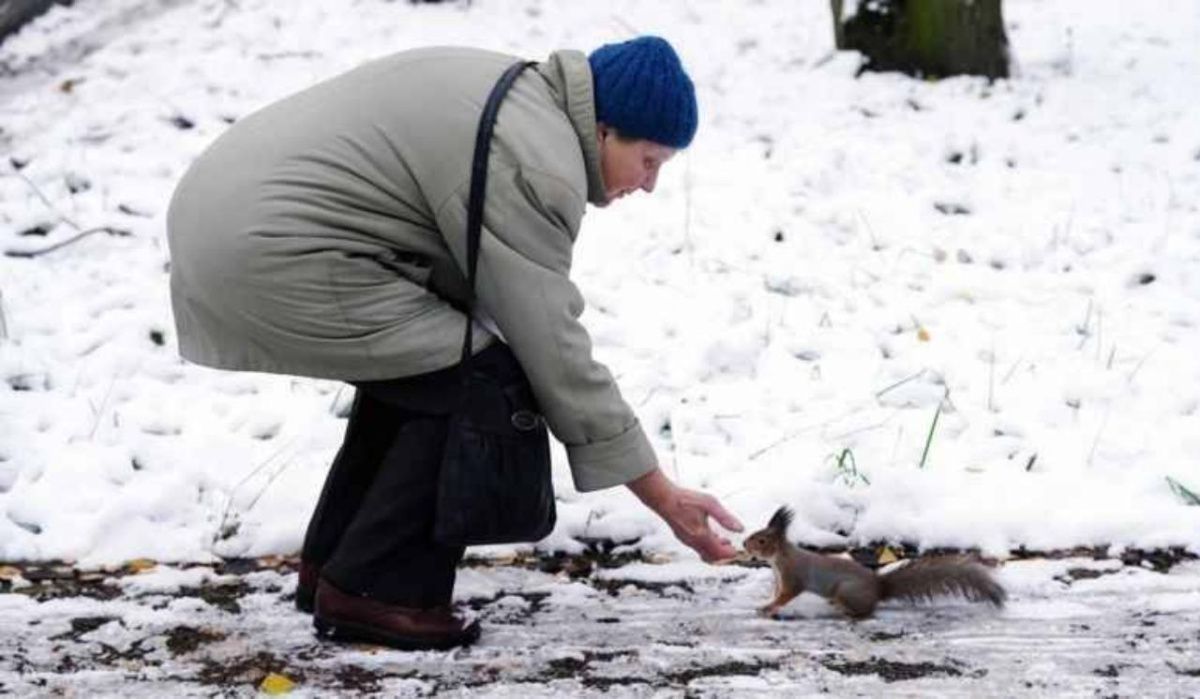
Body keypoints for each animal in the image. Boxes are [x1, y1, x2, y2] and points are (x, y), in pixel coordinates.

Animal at [739, 509, 1003, 619]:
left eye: (761, 540)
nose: (743, 543)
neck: (780, 558)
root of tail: (879, 588)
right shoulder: (779, 577)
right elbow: (777, 592)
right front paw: (767, 604)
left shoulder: (793, 577)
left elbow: (786, 595)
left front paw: (768, 607)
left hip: (847, 590)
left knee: (865, 610)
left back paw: (845, 610)